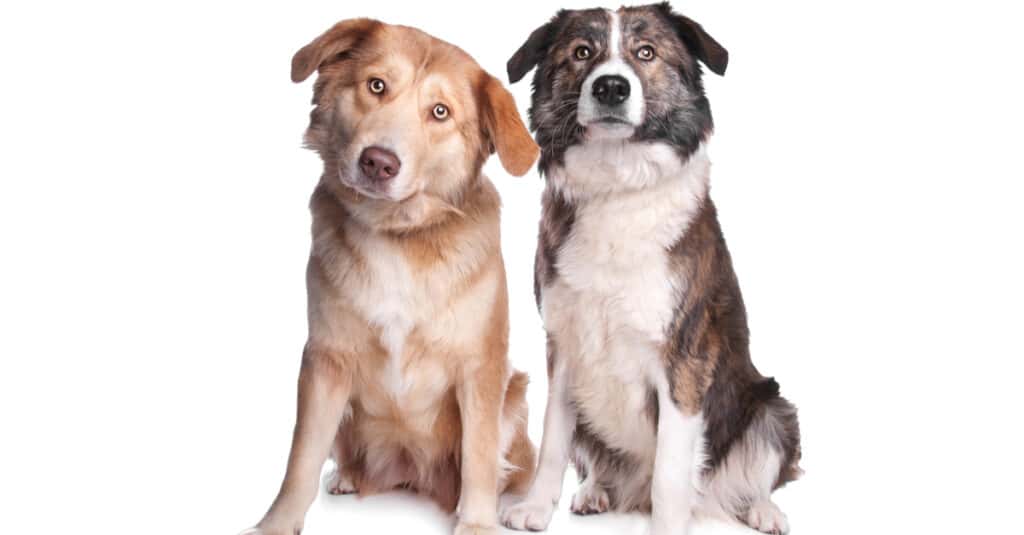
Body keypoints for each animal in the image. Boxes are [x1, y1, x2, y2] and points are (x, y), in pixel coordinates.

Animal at [242, 17, 540, 532]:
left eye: (440, 112)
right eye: (376, 86)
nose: (378, 162)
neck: (398, 235)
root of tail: (408, 471)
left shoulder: (480, 367)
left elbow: (480, 457)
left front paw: (477, 522)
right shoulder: (324, 362)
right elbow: (301, 458)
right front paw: (277, 523)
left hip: (515, 396)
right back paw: (346, 476)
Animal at [499, 5, 802, 532]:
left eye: (646, 53)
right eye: (582, 52)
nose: (611, 87)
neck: (618, 183)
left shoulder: (684, 358)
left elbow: (670, 471)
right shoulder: (564, 344)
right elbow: (553, 441)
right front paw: (536, 508)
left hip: (772, 407)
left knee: (756, 474)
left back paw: (763, 510)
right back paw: (595, 491)